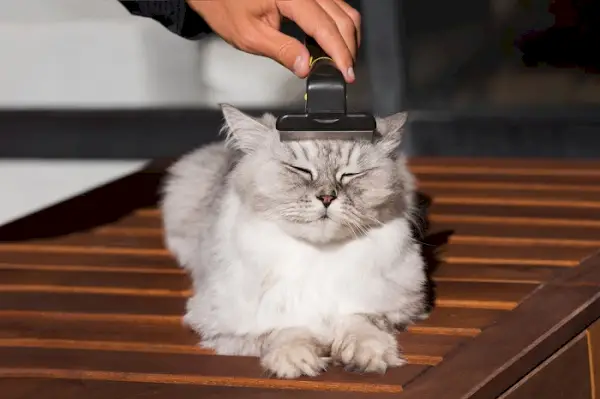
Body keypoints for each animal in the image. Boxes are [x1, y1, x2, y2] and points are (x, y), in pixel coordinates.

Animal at [162, 104, 428, 380]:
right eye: (300, 170)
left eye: (350, 175)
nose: (326, 197)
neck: (319, 255)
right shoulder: (222, 321)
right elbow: (285, 329)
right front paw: (295, 360)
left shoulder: (395, 305)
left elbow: (360, 322)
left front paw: (369, 355)